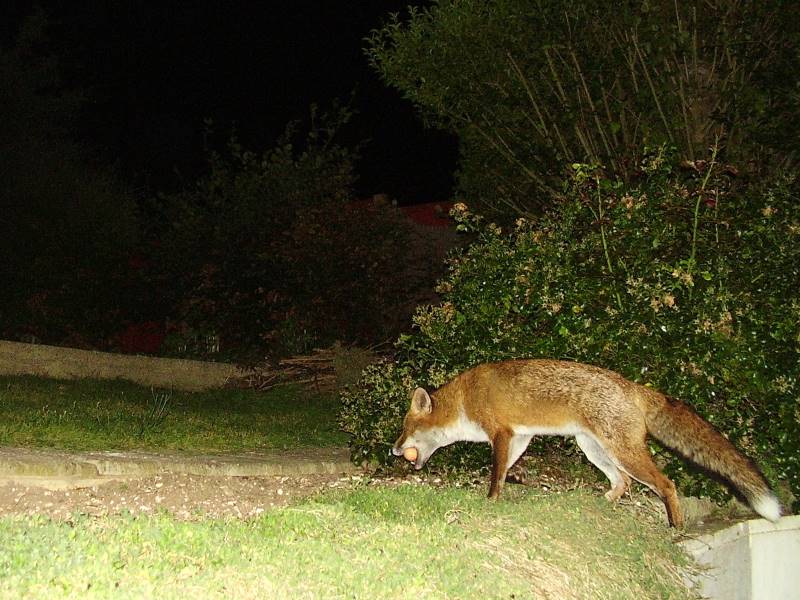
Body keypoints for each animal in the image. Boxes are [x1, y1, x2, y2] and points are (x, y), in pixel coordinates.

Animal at [392, 359, 782, 528]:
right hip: (594, 449)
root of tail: (635, 387)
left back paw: (676, 527)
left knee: (666, 484)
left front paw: (490, 500)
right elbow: (505, 470)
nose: (394, 450)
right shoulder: (520, 436)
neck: (465, 399)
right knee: (622, 484)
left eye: (405, 427)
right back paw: (601, 503)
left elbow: (495, 473)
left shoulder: (501, 432)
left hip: (622, 452)